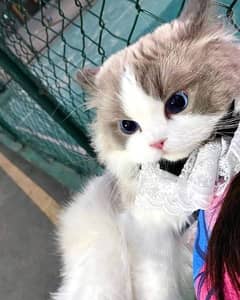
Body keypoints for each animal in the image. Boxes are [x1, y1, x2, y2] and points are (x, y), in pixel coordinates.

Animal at [53, 0, 240, 298]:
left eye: (178, 102)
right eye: (128, 126)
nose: (157, 142)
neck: (179, 173)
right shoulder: (147, 239)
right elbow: (160, 287)